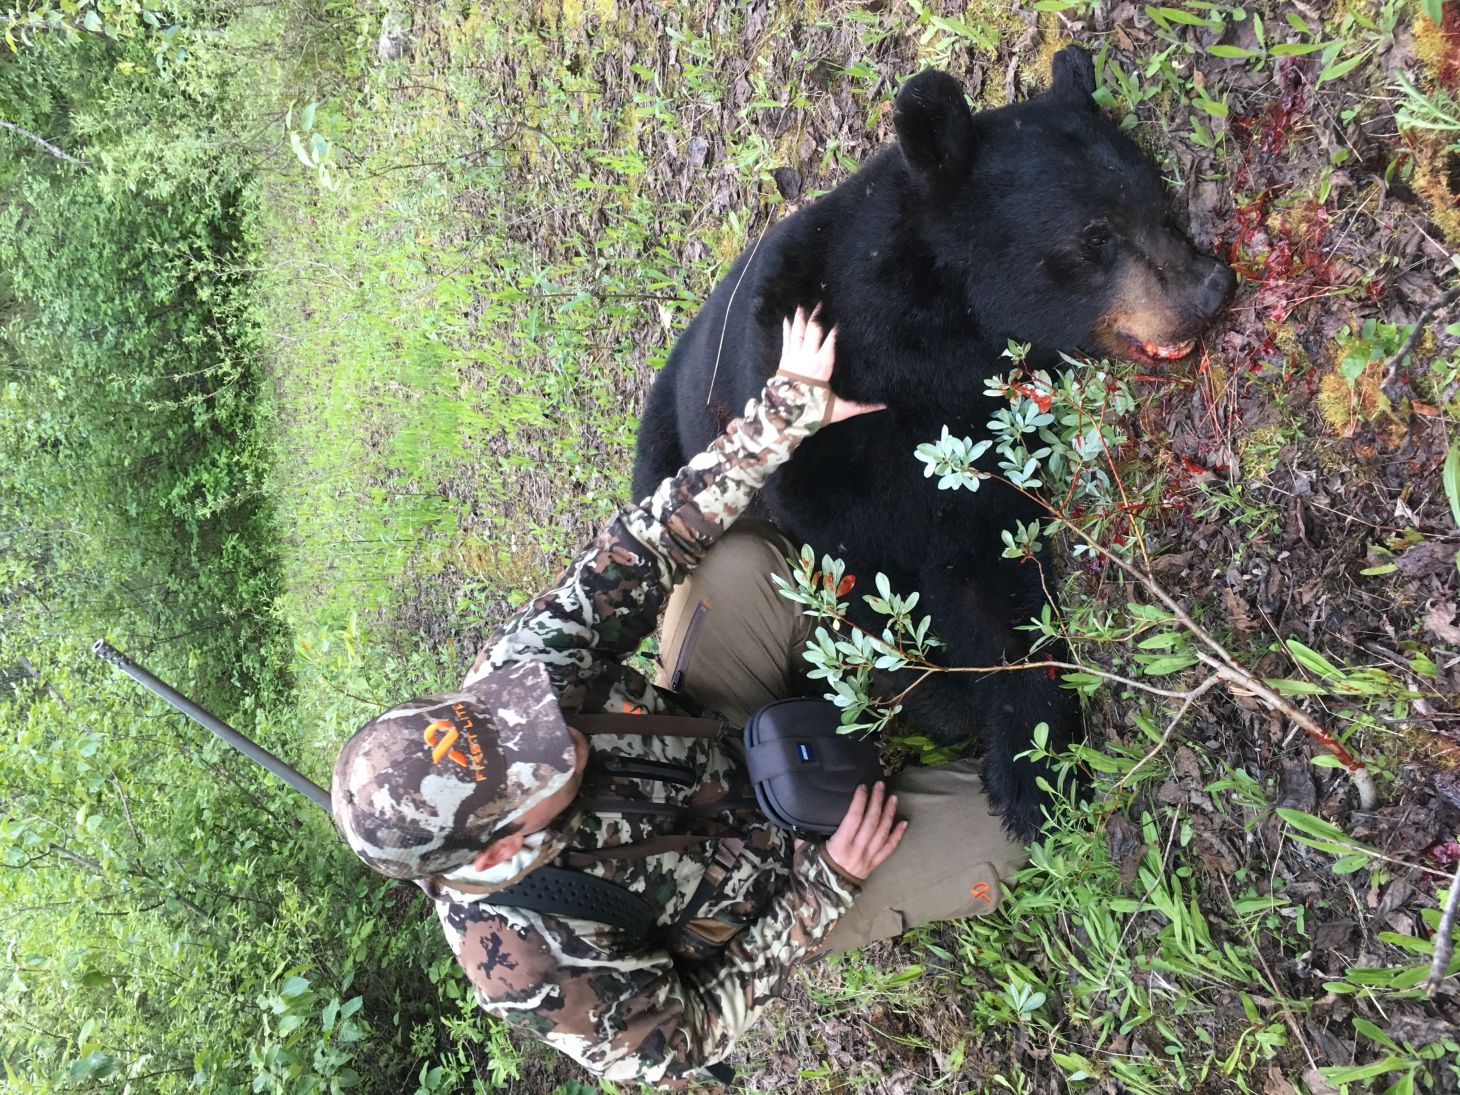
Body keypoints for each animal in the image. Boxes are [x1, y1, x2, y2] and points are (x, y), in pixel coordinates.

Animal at [632, 46, 1235, 839]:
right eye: (1096, 236)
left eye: (1160, 205)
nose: (1211, 287)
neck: (918, 341)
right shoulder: (822, 472)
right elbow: (861, 589)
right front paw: (950, 708)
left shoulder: (975, 448)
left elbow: (993, 574)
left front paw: (1034, 772)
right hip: (664, 449)